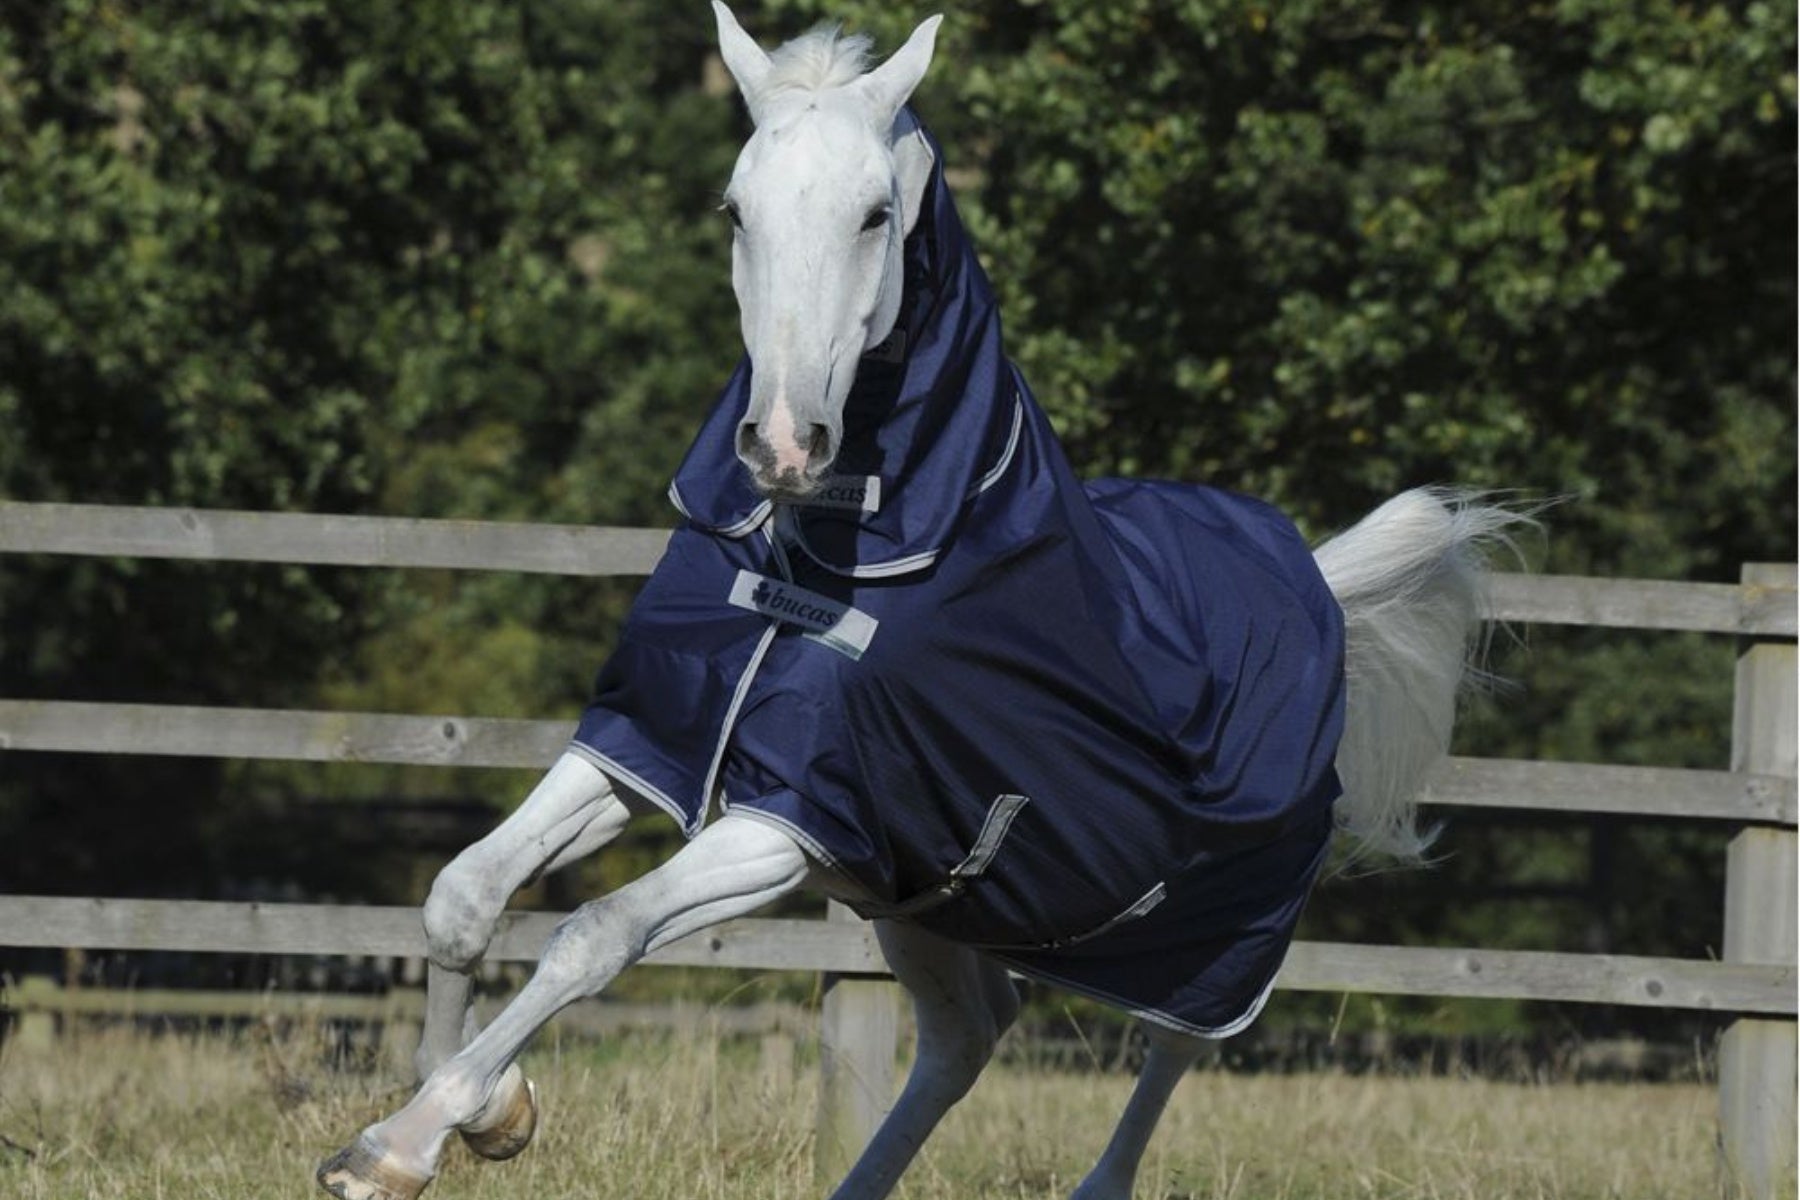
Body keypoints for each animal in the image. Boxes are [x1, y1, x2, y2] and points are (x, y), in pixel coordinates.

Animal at [317, 8, 1524, 1199]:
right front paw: (495, 1114)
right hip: (918, 904)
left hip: (1216, 930)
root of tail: (1314, 583)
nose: (784, 445)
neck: (822, 560)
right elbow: (464, 892)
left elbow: (595, 933)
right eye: (735, 209)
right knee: (966, 1035)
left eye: (873, 214)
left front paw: (403, 1143)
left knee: (1174, 1045)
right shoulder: (656, 741)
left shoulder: (786, 819)